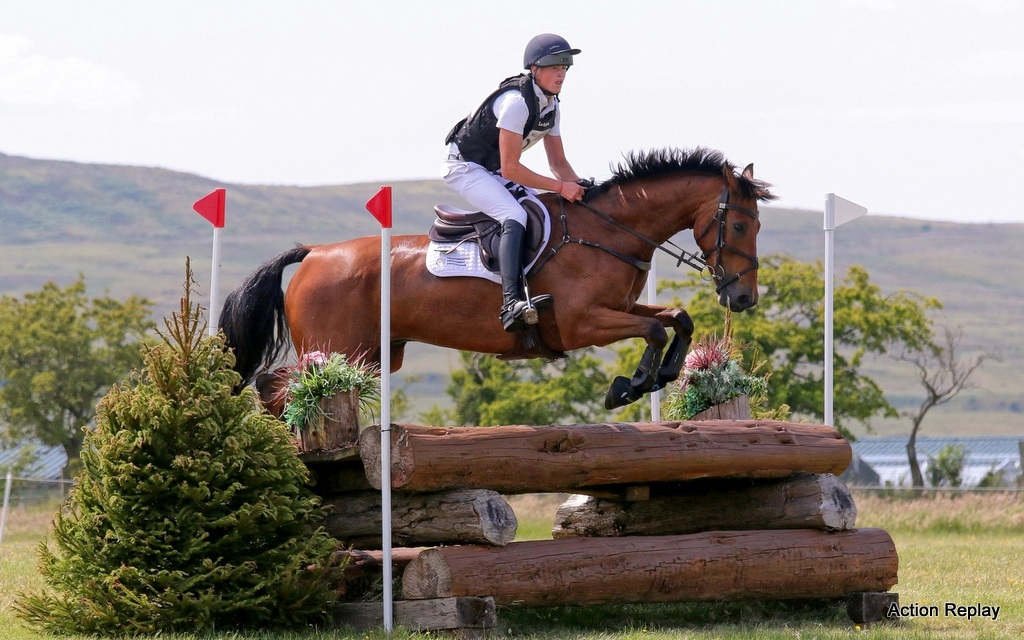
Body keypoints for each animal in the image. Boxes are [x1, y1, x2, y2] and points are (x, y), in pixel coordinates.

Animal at [219, 147, 775, 411]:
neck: (608, 232)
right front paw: (630, 385)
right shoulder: (582, 323)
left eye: (758, 225)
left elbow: (677, 318)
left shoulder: (615, 310)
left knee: (277, 386)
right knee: (277, 385)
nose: (744, 297)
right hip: (336, 348)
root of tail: (315, 253)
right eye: (739, 226)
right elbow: (657, 327)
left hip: (374, 355)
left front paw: (662, 375)